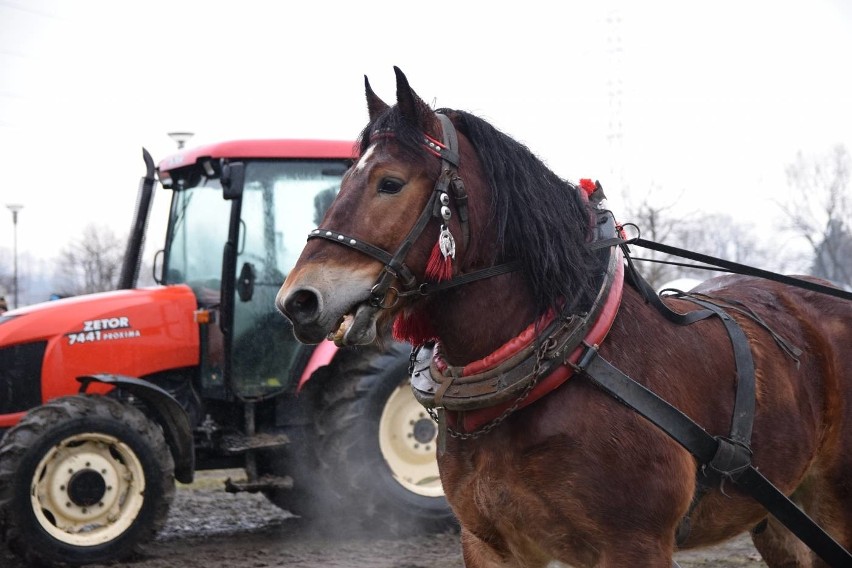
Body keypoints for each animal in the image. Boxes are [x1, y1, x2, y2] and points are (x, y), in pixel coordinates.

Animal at [278, 69, 852, 564]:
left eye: (390, 183)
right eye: (343, 179)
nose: (298, 299)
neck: (570, 356)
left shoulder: (635, 546)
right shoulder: (489, 543)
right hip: (779, 517)